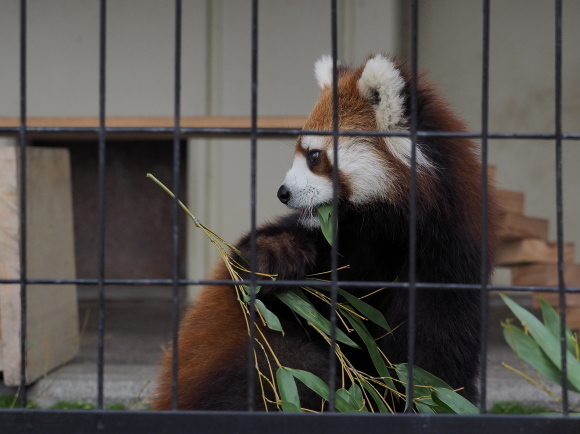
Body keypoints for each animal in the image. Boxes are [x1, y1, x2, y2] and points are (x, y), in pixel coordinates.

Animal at [152, 53, 500, 410]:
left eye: (314, 156)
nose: (282, 193)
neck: (383, 232)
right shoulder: (330, 245)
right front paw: (275, 254)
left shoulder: (447, 262)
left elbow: (436, 359)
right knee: (284, 361)